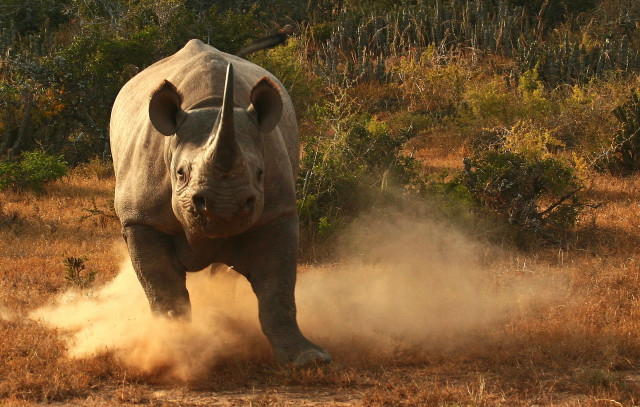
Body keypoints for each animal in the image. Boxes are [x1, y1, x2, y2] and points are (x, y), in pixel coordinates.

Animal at [109, 39, 331, 366]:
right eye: (180, 174)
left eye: (260, 173)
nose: (225, 208)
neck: (211, 105)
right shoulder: (141, 219)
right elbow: (163, 290)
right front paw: (175, 351)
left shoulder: (277, 213)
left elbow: (278, 289)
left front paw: (308, 359)